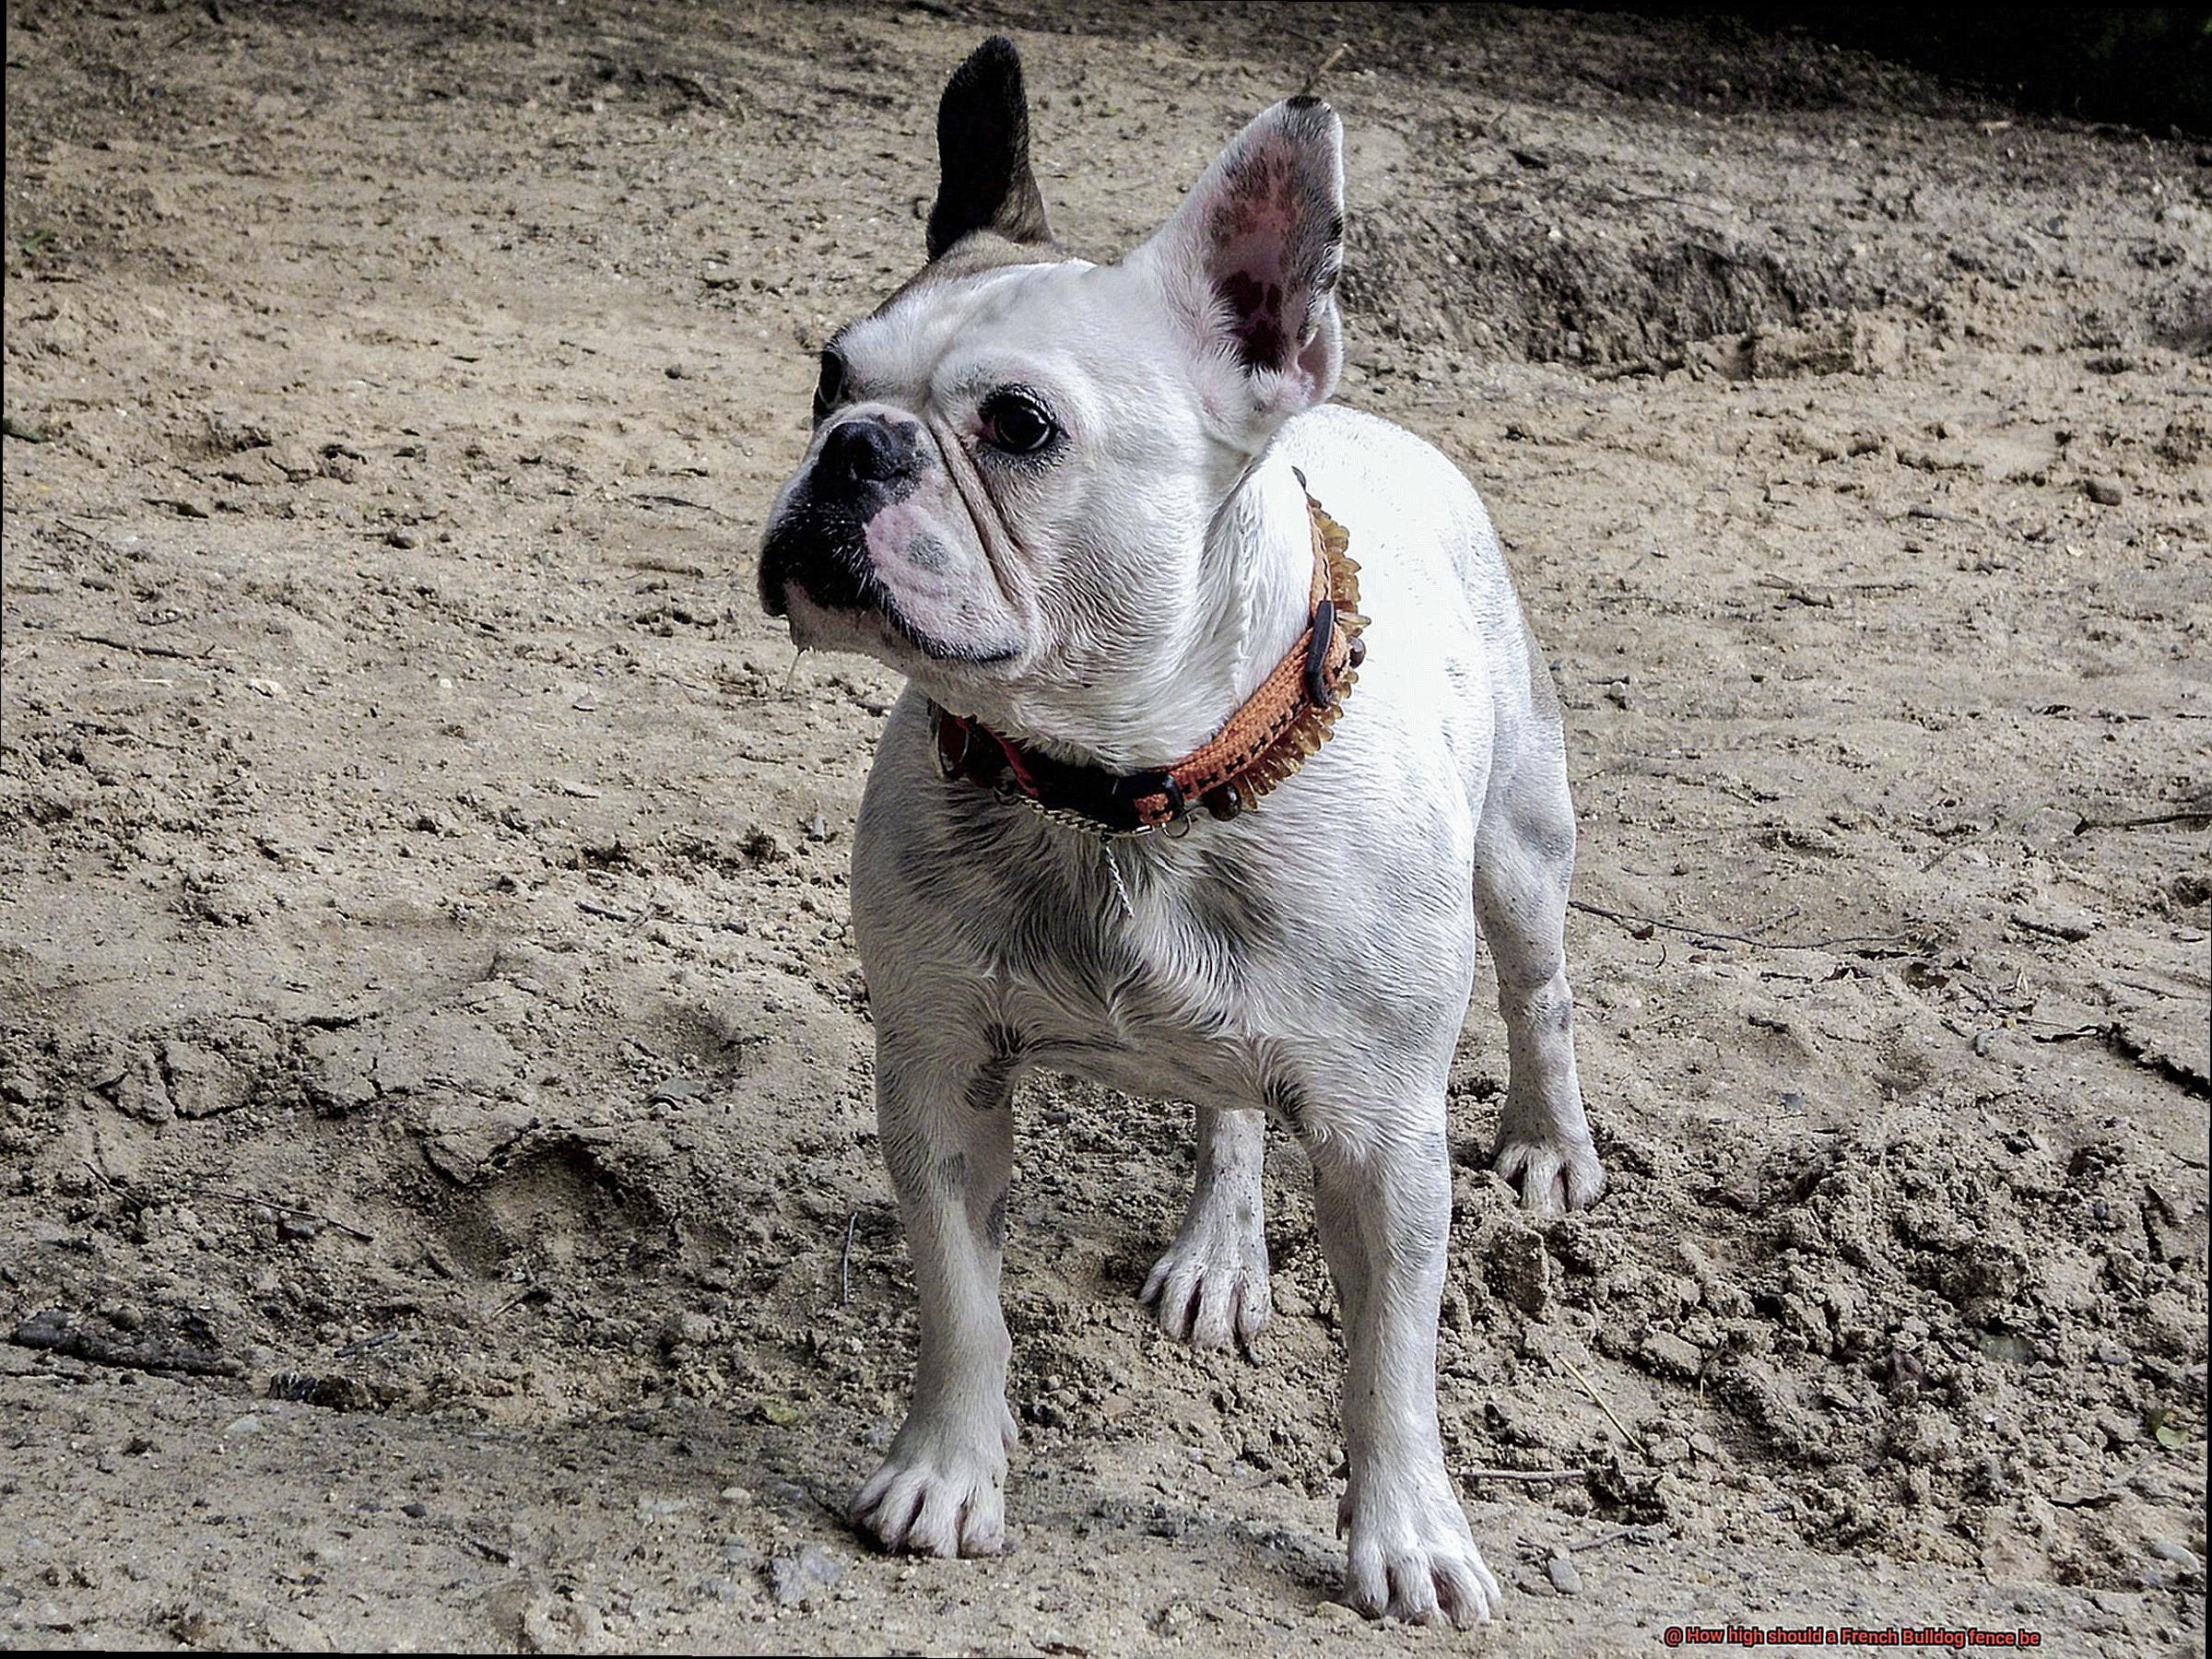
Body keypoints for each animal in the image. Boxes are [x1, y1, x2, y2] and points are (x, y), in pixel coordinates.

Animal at [752, 35, 1601, 1628]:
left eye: (1018, 428)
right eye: (829, 375)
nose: (853, 451)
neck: (1113, 786)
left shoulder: (1387, 1138)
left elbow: (1392, 1363)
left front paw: (1412, 1535)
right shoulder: (939, 1077)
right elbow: (962, 1307)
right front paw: (948, 1474)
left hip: (1522, 849)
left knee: (1542, 991)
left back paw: (1549, 1141)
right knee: (1229, 1111)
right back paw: (1221, 1245)